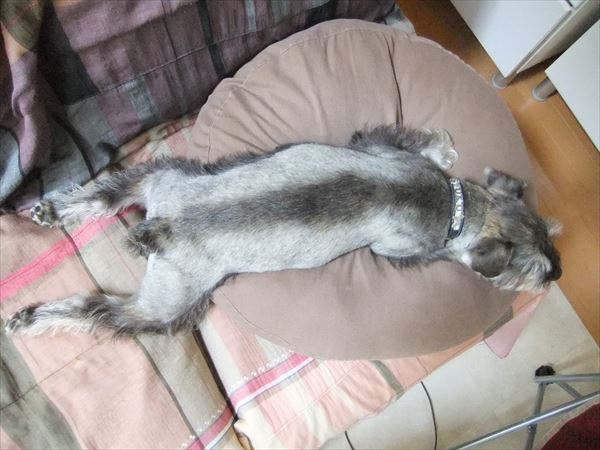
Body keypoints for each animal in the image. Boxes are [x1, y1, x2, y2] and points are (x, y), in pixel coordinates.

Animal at [4, 125, 562, 337]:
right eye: (533, 271)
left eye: (548, 235)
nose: (557, 273)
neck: (456, 206)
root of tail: (162, 226)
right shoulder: (399, 237)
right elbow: (421, 144)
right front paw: (447, 147)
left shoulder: (382, 150)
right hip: (169, 307)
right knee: (101, 311)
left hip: (160, 178)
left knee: (103, 204)